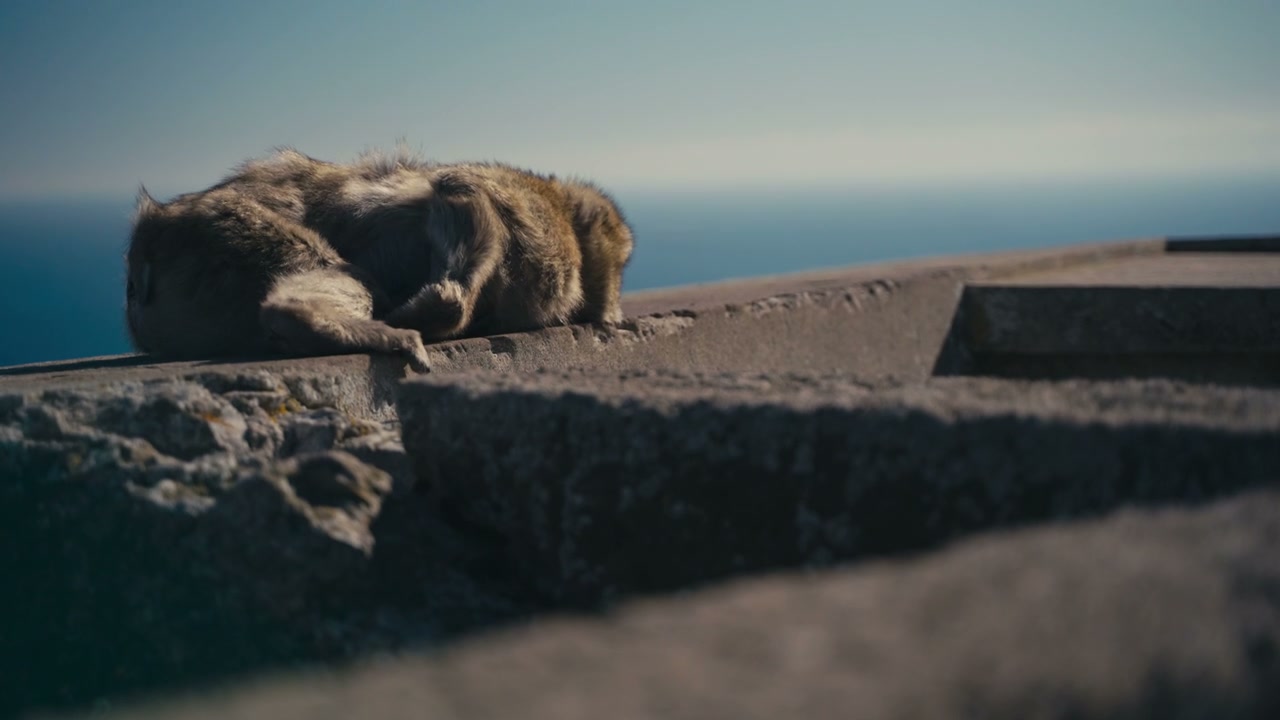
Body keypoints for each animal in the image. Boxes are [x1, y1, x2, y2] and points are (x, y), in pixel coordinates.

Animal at [125, 149, 635, 371]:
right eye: (620, 256)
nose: (614, 305)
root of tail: (150, 230)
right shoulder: (515, 196)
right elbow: (457, 190)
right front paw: (435, 307)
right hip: (219, 228)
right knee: (343, 273)